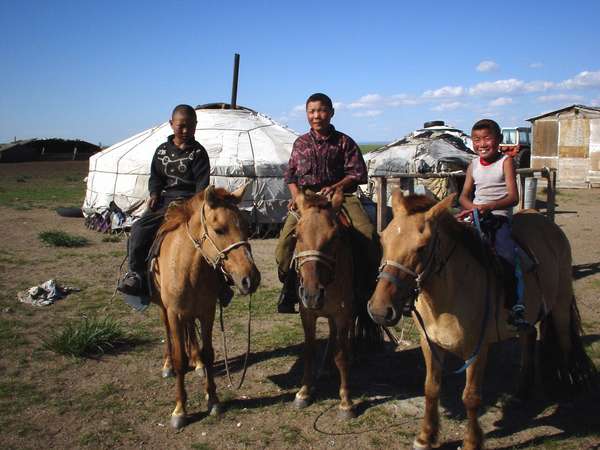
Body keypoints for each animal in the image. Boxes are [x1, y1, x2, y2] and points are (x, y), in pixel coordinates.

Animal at [150, 185, 260, 428]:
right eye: (219, 229)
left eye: (247, 227)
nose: (251, 279)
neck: (188, 267)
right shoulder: (173, 312)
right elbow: (180, 360)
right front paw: (179, 410)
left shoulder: (207, 311)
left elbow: (209, 353)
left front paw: (213, 399)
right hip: (163, 308)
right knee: (168, 333)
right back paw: (167, 365)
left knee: (190, 329)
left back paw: (197, 362)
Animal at [290, 189, 380, 418]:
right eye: (297, 235)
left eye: (334, 237)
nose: (312, 295)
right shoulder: (307, 313)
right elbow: (309, 350)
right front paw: (304, 392)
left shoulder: (342, 313)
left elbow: (341, 356)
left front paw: (346, 402)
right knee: (331, 334)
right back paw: (326, 369)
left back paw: (352, 357)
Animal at [366, 192, 596, 448]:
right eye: (382, 240)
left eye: (422, 248)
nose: (379, 310)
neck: (449, 295)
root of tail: (547, 223)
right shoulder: (430, 344)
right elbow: (431, 388)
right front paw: (426, 436)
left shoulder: (476, 349)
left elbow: (471, 397)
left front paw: (471, 441)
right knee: (530, 336)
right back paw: (521, 392)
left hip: (561, 305)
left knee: (565, 343)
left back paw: (569, 392)